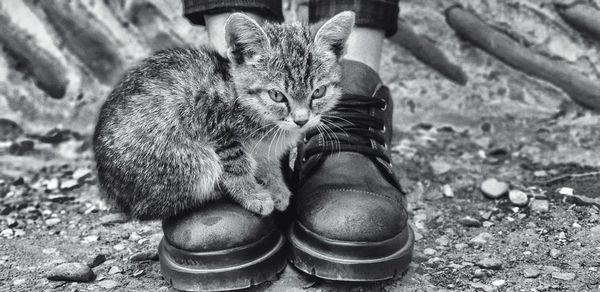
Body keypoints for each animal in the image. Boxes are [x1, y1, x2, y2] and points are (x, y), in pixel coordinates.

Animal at [94, 12, 356, 220]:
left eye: (318, 92)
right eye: (276, 95)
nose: (302, 120)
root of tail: (112, 191)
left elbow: (268, 163)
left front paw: (276, 187)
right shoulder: (207, 114)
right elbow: (237, 164)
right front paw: (252, 195)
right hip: (188, 161)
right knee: (156, 206)